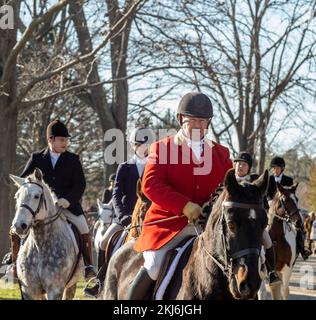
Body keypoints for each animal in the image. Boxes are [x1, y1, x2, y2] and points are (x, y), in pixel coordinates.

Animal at [10, 168, 82, 300]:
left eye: (36, 196)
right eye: (16, 196)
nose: (18, 226)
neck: (40, 245)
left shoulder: (55, 289)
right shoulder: (29, 290)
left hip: (71, 285)